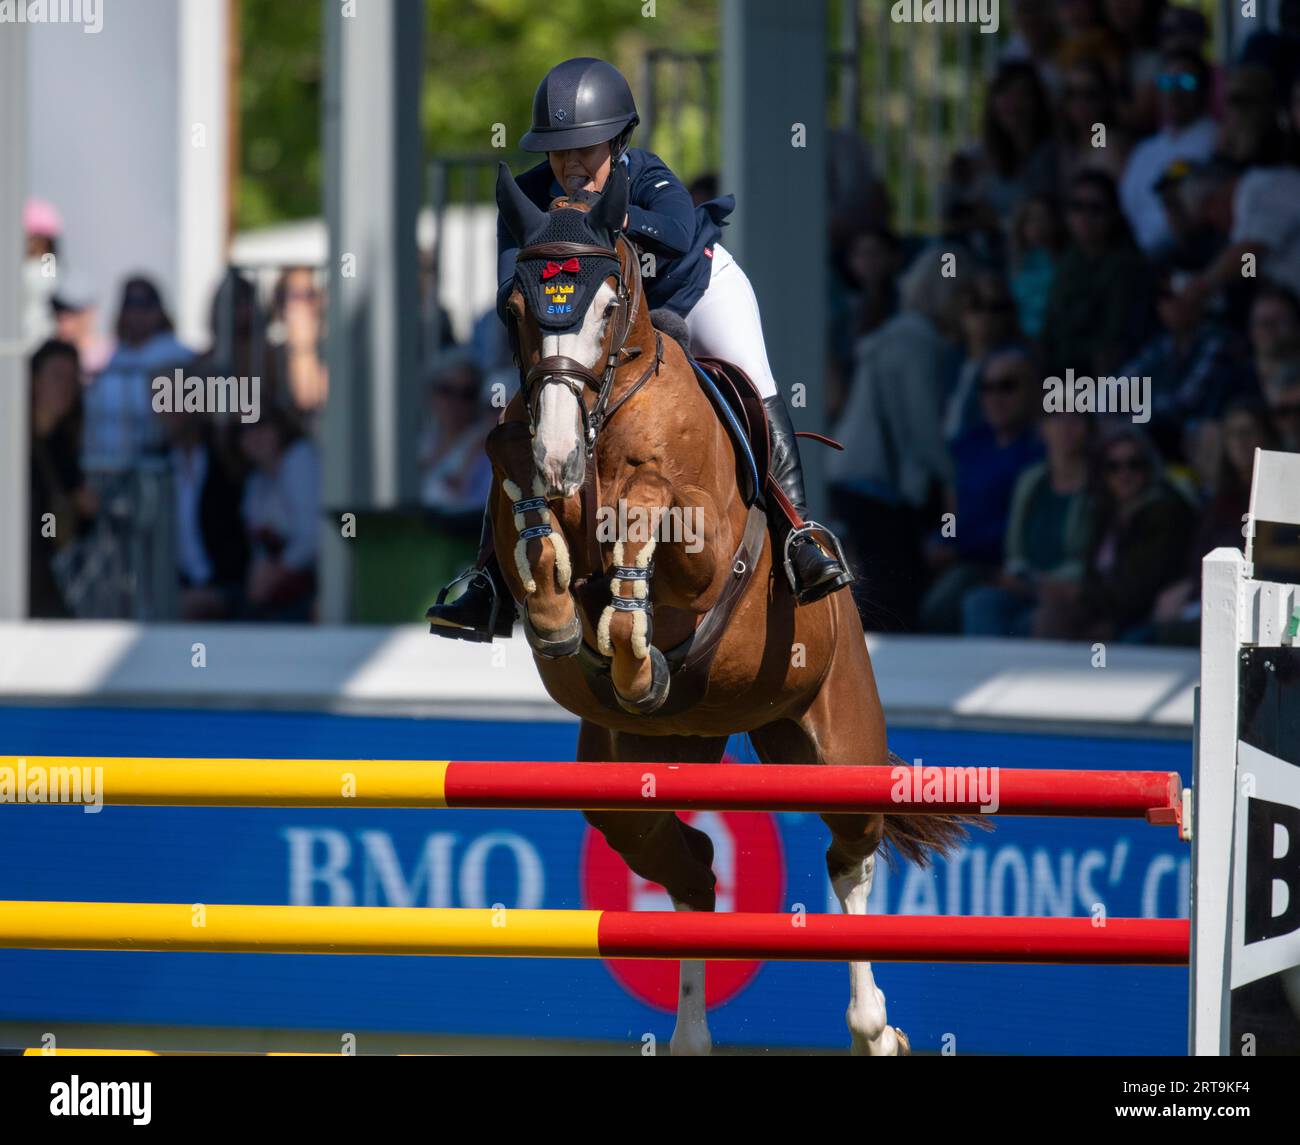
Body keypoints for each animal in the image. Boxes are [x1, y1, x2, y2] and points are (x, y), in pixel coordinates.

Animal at [488, 161, 967, 1055]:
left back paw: (875, 1028)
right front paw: (566, 614)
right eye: (515, 309)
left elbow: (647, 517)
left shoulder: (702, 536)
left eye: (607, 303)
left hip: (834, 740)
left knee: (850, 857)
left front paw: (628, 634)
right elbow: (525, 515)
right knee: (695, 866)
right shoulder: (520, 476)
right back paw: (690, 1034)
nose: (561, 453)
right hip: (630, 780)